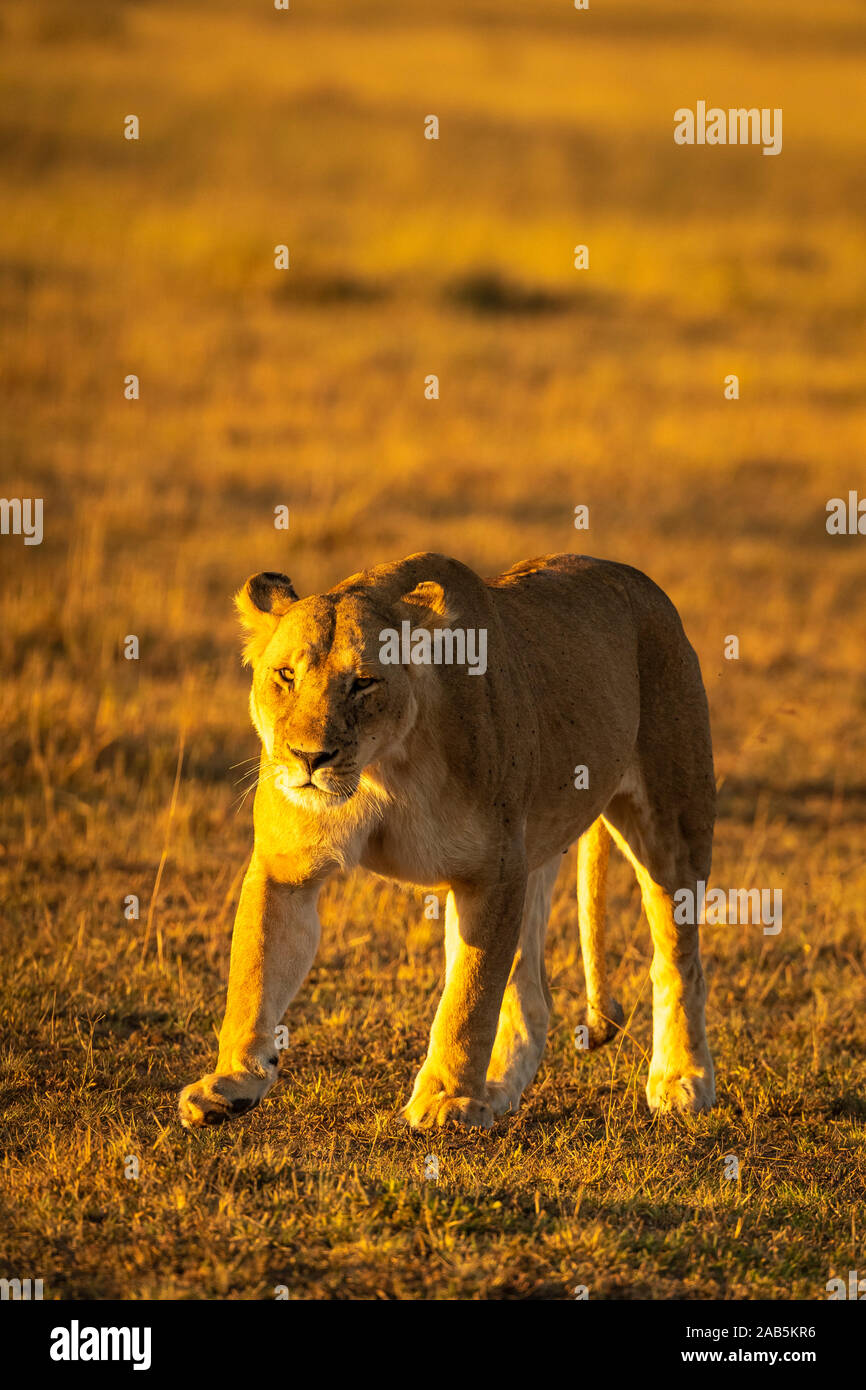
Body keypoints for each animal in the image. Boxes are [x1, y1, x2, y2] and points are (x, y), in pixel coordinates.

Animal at [178, 551, 716, 1131]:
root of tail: (635, 578)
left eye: (363, 683)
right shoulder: (286, 869)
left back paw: (682, 1081)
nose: (308, 757)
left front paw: (445, 1100)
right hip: (535, 850)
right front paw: (231, 1082)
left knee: (678, 960)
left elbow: (468, 997)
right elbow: (254, 974)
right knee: (532, 995)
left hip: (669, 823)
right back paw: (497, 1091)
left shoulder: (492, 873)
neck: (382, 769)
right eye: (286, 675)